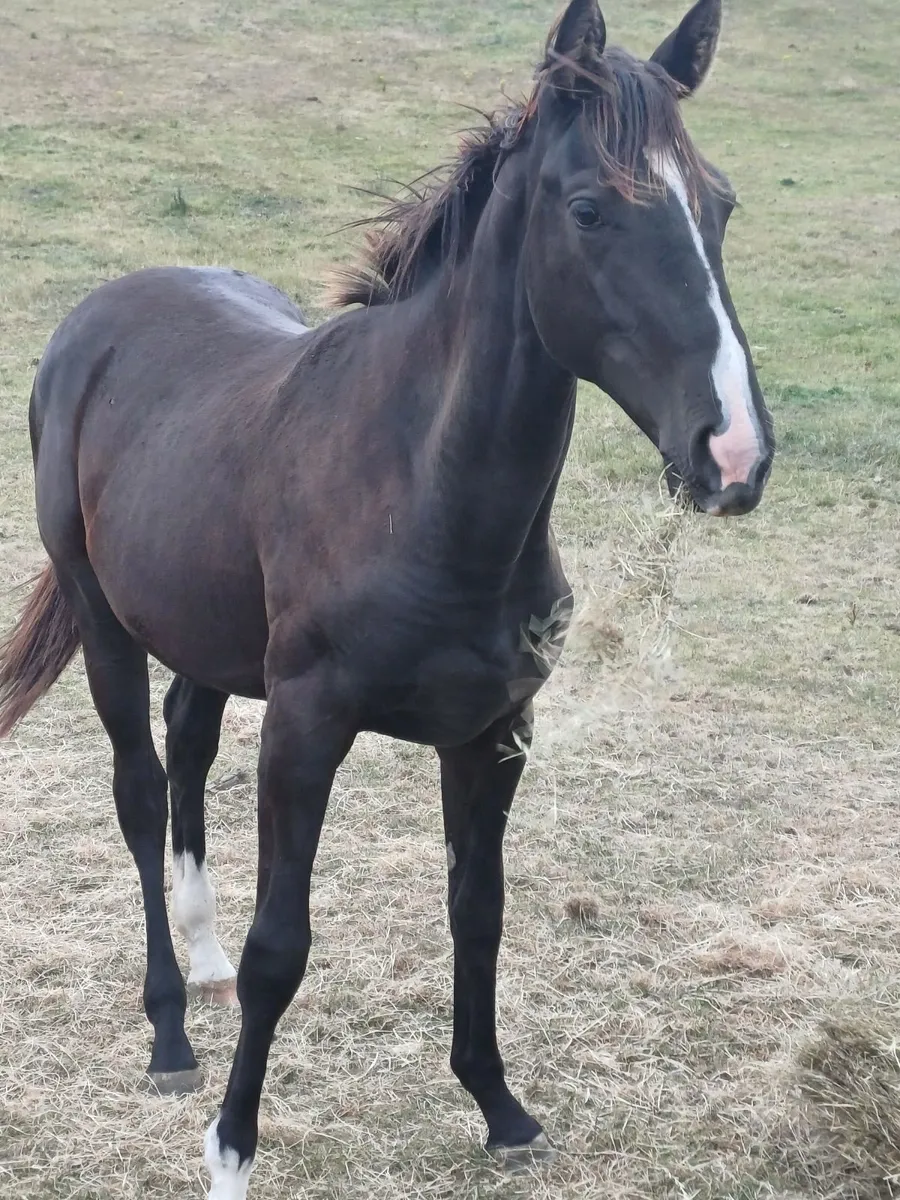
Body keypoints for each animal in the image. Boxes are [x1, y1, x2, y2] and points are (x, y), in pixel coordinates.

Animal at [0, 0, 773, 1193]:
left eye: (720, 205)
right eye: (589, 209)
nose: (732, 455)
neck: (421, 492)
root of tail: (101, 311)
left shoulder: (495, 734)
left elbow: (479, 914)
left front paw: (500, 1107)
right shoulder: (308, 726)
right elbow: (282, 949)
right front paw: (231, 1149)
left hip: (209, 634)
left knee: (187, 743)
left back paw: (200, 958)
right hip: (103, 622)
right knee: (138, 788)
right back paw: (170, 1028)